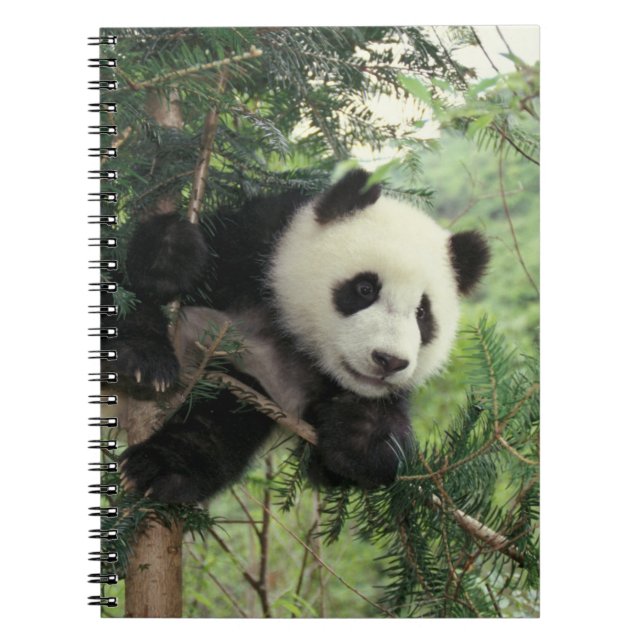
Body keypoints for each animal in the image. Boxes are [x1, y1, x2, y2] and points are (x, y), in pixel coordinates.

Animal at [116, 169, 490, 503]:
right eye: (364, 289)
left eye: (422, 314)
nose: (389, 361)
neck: (287, 332)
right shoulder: (252, 245)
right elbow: (131, 287)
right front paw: (169, 258)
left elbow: (344, 462)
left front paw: (361, 434)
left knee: (220, 418)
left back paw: (164, 469)